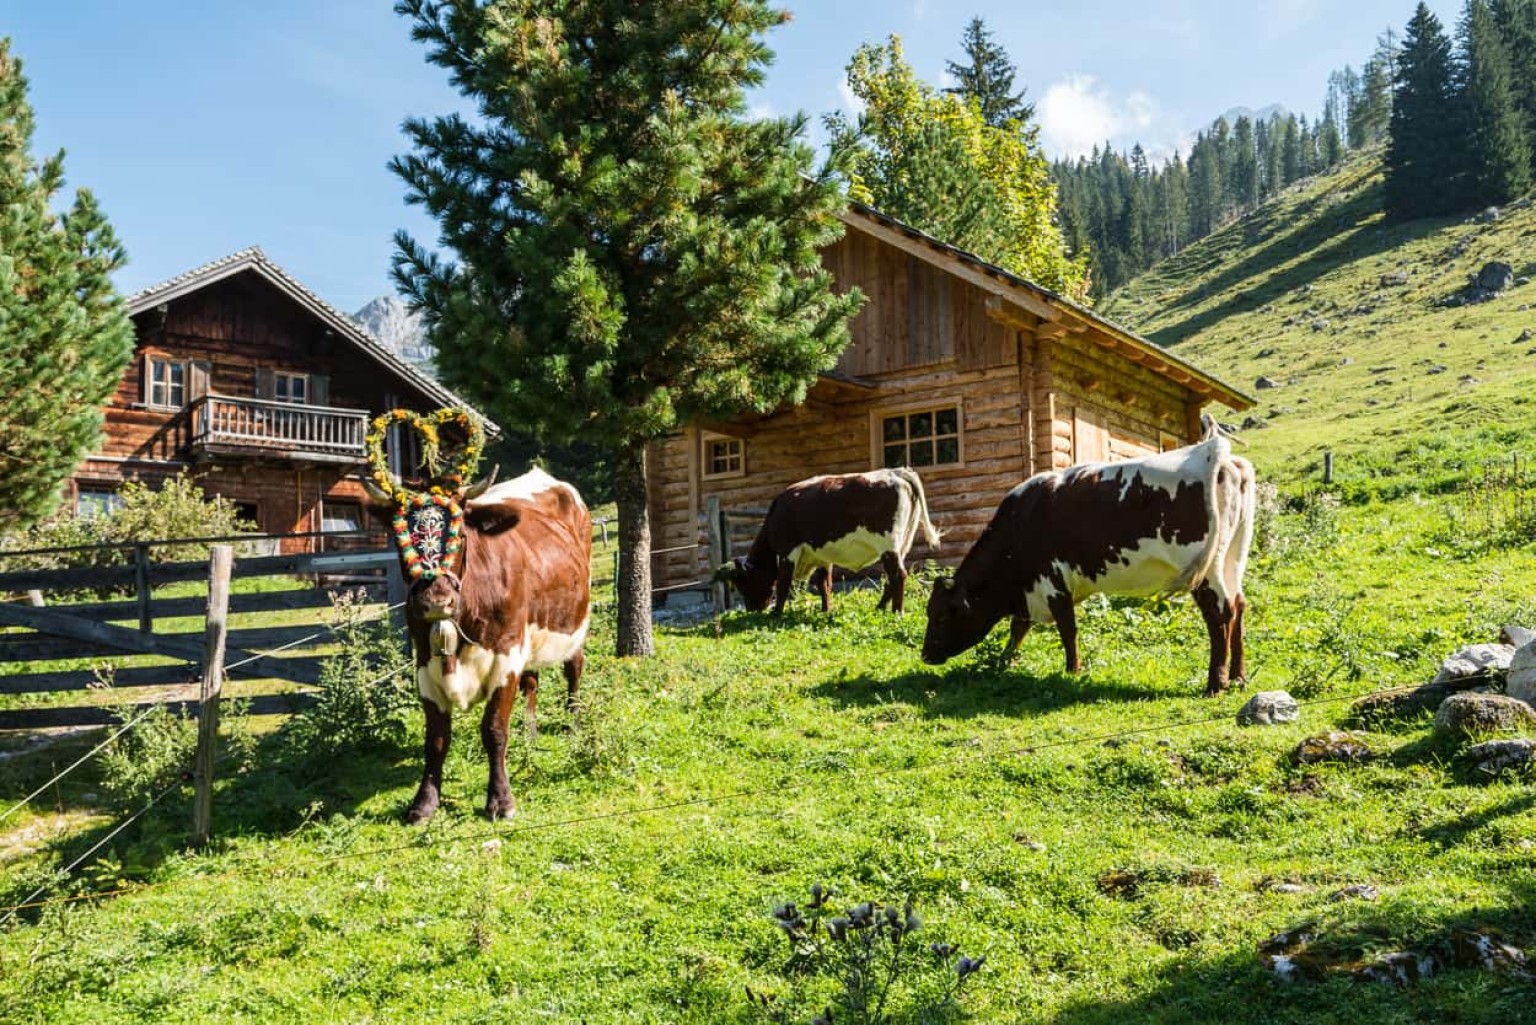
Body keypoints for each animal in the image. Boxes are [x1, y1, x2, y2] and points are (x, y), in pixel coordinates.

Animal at [366, 466, 591, 823]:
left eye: (460, 536)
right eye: (402, 541)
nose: (436, 601)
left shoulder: (506, 656)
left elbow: (494, 729)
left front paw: (500, 799)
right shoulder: (425, 665)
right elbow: (436, 739)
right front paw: (424, 802)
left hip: (575, 624)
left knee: (574, 669)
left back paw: (574, 723)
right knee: (532, 682)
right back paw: (529, 735)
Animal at [715, 467, 941, 615]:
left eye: (744, 583)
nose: (752, 610)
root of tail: (896, 471)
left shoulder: (789, 551)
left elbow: (783, 583)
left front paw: (777, 613)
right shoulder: (822, 555)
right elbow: (824, 583)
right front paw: (826, 610)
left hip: (888, 544)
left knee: (898, 576)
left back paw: (896, 612)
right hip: (902, 544)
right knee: (890, 579)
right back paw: (879, 608)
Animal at [921, 420, 1255, 695]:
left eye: (940, 615)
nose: (925, 655)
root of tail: (1212, 453)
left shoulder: (1052, 581)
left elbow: (1067, 629)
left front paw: (1071, 671)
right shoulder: (1030, 589)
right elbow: (1019, 628)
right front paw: (1005, 662)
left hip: (1205, 568)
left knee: (1219, 612)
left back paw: (1216, 683)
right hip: (1232, 556)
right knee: (1238, 606)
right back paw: (1238, 678)